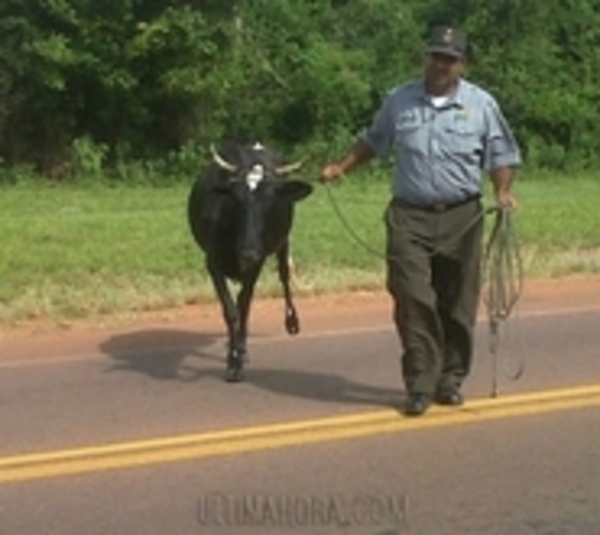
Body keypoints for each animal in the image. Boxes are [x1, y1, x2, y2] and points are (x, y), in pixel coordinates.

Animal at [188, 142, 314, 382]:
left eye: (272, 200)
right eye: (236, 199)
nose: (249, 252)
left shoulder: (258, 262)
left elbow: (244, 305)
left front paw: (238, 357)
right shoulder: (212, 262)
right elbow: (231, 311)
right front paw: (233, 359)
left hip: (282, 243)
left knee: (283, 275)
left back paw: (289, 322)